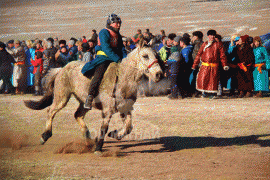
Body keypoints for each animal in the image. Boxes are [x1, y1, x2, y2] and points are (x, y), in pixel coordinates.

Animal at [24, 40, 163, 153]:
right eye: (145, 56)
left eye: (156, 55)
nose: (159, 74)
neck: (123, 78)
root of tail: (61, 69)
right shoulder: (107, 110)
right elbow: (104, 128)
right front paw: (98, 148)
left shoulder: (125, 108)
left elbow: (128, 127)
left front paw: (114, 134)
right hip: (62, 97)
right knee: (51, 111)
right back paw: (45, 136)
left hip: (83, 102)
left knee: (77, 115)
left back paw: (88, 139)